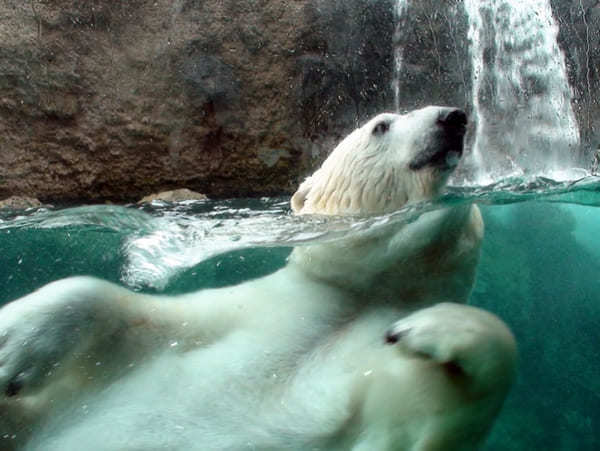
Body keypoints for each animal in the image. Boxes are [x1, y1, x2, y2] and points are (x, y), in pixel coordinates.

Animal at [0, 107, 516, 451]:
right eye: (382, 125)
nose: (455, 118)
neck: (349, 301)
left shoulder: (355, 380)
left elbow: (426, 416)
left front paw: (431, 327)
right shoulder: (226, 319)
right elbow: (124, 311)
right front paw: (10, 348)